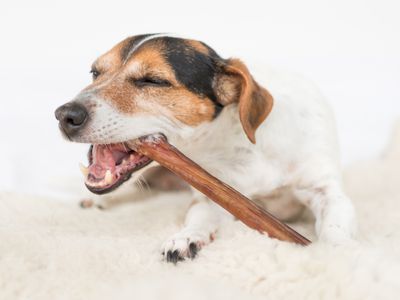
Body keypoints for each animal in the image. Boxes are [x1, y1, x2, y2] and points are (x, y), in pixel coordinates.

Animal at [55, 33, 356, 262]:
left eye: (153, 80)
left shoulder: (325, 190)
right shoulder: (213, 194)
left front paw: (339, 253)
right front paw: (186, 237)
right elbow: (200, 217)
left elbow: (337, 224)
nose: (65, 115)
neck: (247, 145)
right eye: (95, 73)